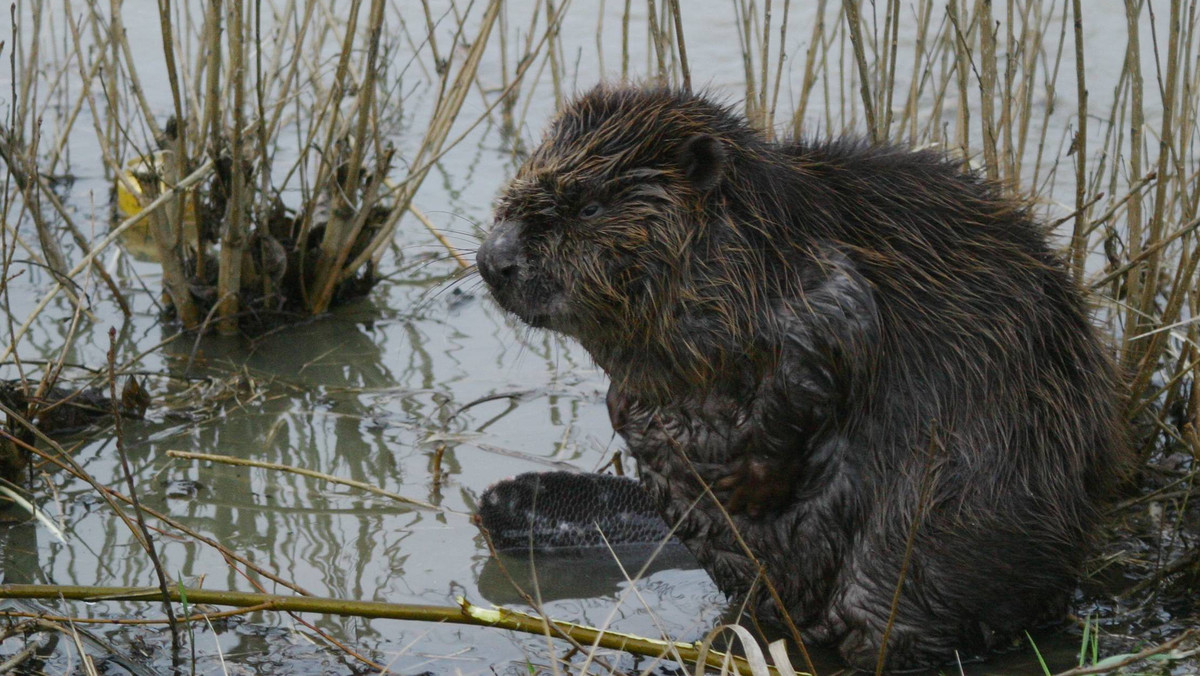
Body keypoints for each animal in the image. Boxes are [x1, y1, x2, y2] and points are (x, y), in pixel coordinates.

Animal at [470, 85, 1123, 672]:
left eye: (589, 207)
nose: (494, 260)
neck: (760, 230)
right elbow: (637, 397)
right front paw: (656, 438)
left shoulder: (821, 280)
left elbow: (831, 351)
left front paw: (740, 481)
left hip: (947, 526)